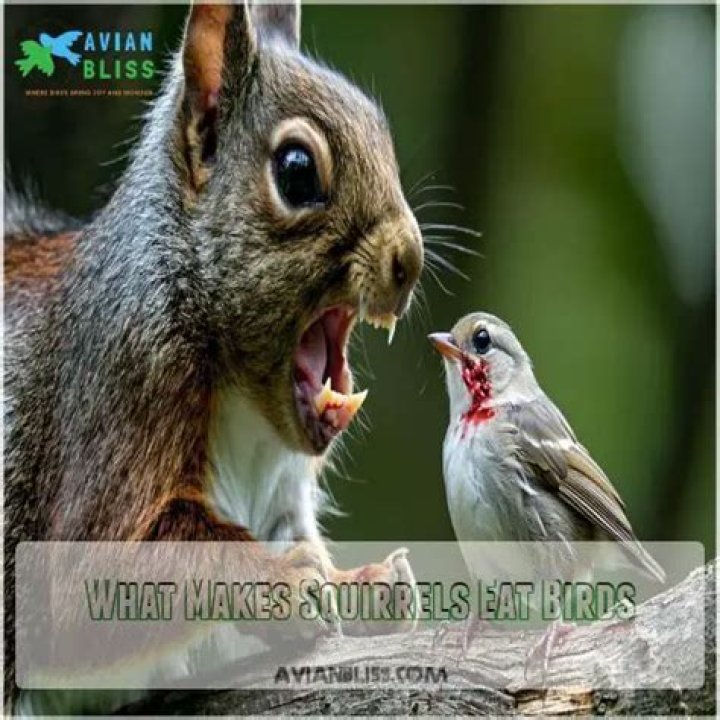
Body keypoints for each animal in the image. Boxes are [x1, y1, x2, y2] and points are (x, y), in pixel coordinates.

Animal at [5, 1, 423, 713]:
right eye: (297, 170)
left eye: (381, 129)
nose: (410, 259)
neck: (246, 402)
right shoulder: (127, 379)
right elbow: (84, 589)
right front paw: (281, 582)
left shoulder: (283, 498)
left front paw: (364, 586)